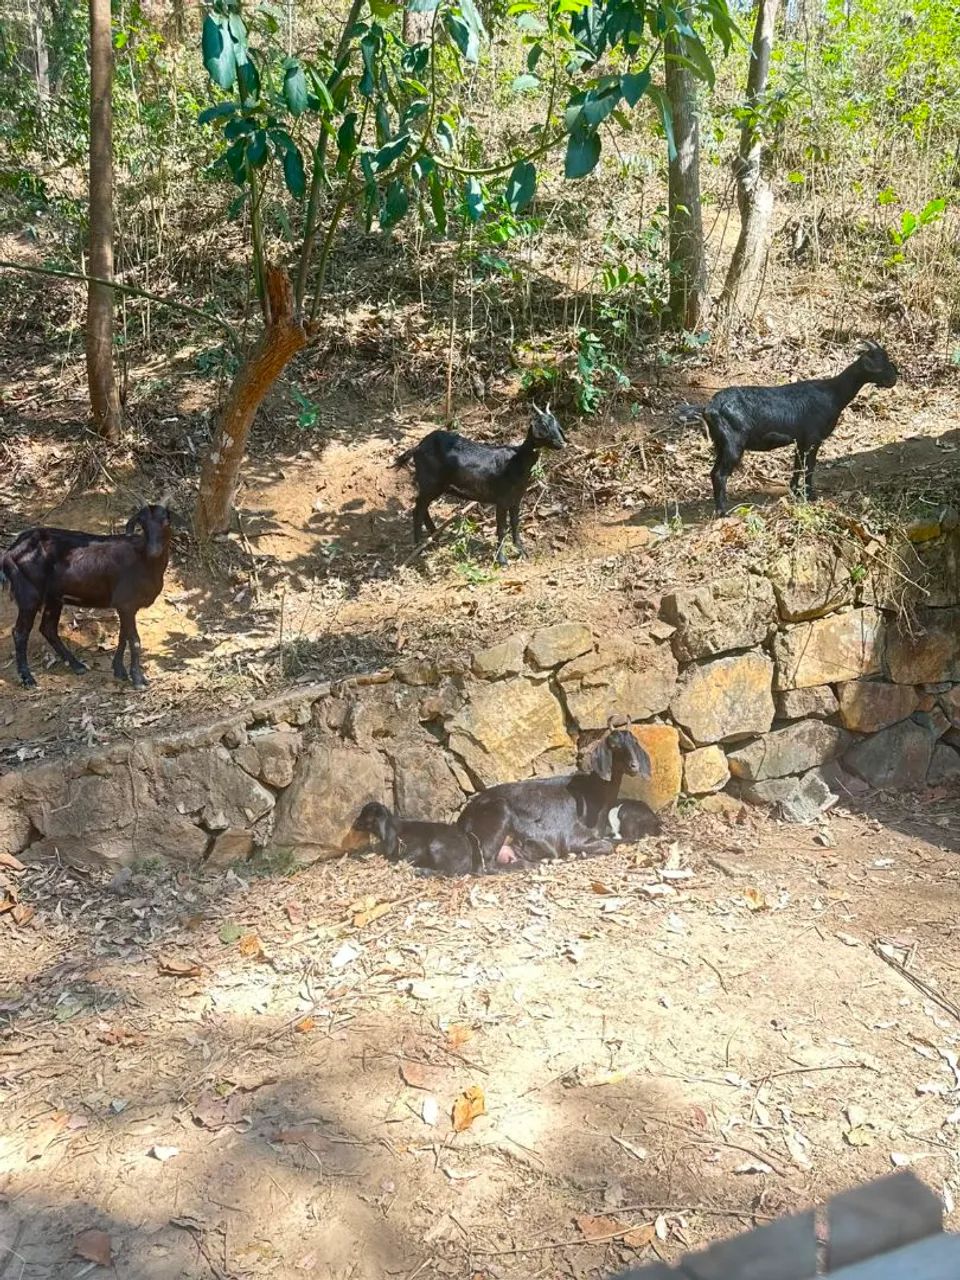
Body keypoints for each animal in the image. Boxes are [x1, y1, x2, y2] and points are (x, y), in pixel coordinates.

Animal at [0, 504, 172, 689]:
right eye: (143, 524)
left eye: (166, 522)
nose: (154, 550)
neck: (144, 560)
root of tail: (10, 552)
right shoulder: (126, 603)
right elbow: (133, 640)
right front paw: (138, 680)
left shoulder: (125, 607)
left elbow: (123, 636)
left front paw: (119, 671)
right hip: (29, 595)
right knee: (20, 632)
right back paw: (28, 678)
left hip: (54, 597)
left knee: (47, 628)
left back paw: (77, 665)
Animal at [393, 404, 566, 565]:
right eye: (543, 426)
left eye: (556, 424)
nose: (561, 443)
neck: (516, 460)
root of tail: (418, 447)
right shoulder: (501, 500)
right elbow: (501, 529)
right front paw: (502, 559)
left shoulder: (516, 499)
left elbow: (515, 524)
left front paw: (521, 550)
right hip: (430, 483)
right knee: (417, 509)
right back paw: (419, 546)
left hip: (435, 487)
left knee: (423, 507)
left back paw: (436, 535)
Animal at [457, 723, 651, 864]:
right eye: (614, 745)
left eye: (635, 743)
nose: (634, 766)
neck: (594, 792)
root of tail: (462, 818)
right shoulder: (573, 837)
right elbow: (607, 846)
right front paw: (579, 854)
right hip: (499, 812)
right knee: (486, 865)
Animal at [678, 341, 898, 515]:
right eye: (881, 361)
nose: (895, 378)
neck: (833, 394)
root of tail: (709, 407)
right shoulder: (813, 439)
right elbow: (809, 467)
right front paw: (811, 496)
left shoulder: (801, 441)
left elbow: (797, 466)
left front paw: (794, 492)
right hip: (733, 443)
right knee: (720, 475)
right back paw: (724, 512)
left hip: (720, 443)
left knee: (713, 472)